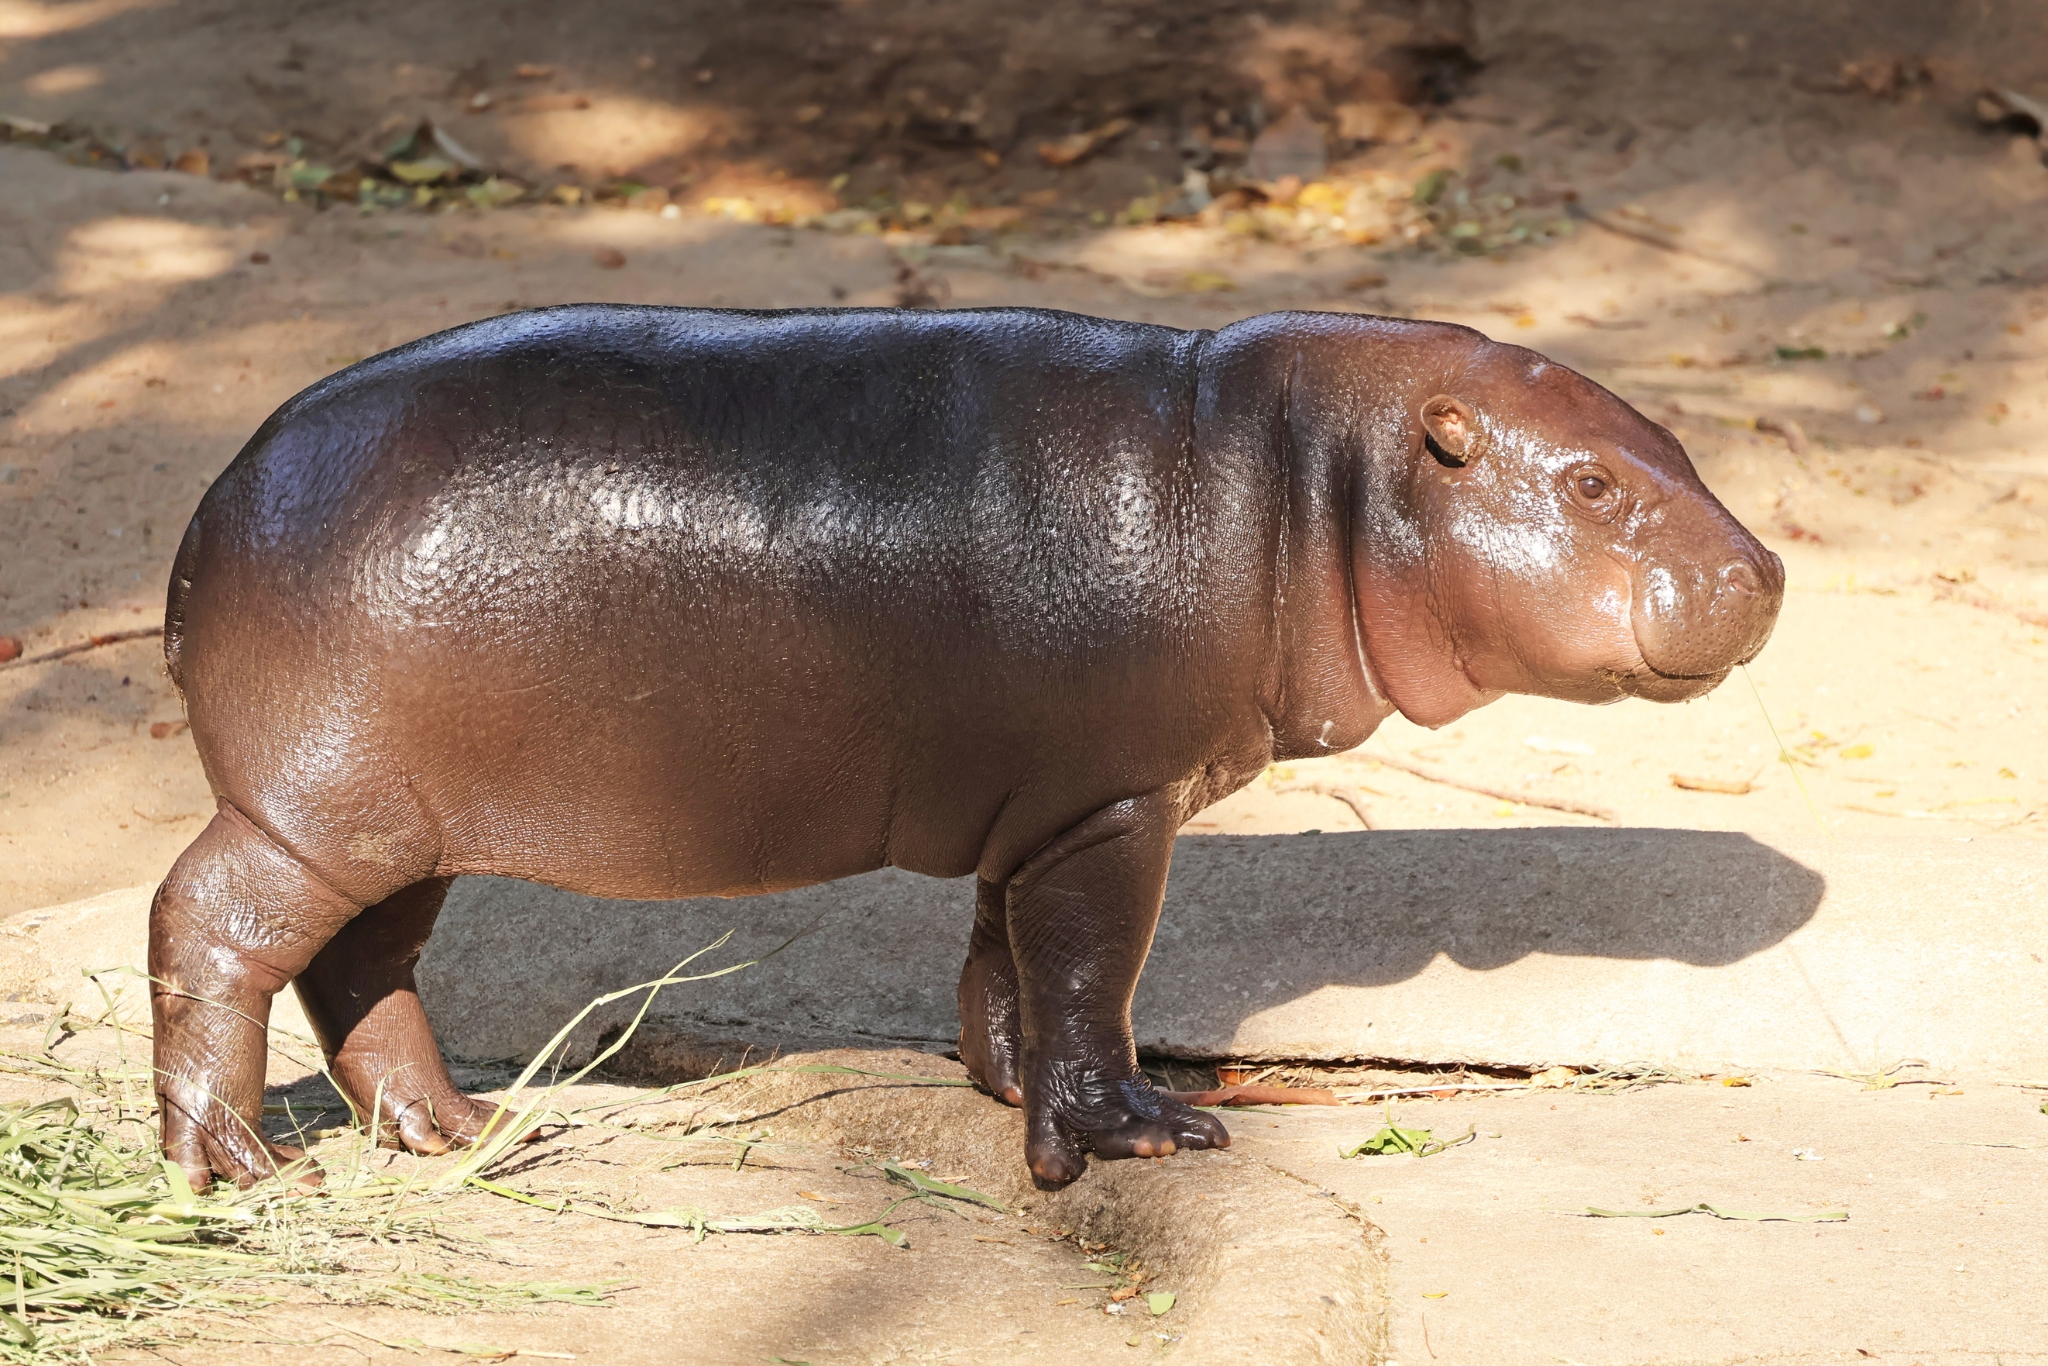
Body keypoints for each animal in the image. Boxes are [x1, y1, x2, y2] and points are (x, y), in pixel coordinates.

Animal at [149, 305, 1782, 1190]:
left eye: (1667, 441)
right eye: (1587, 484)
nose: (1763, 570)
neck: (1299, 481)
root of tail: (212, 504)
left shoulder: (1037, 803)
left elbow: (1006, 958)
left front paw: (1005, 1099)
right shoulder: (1112, 801)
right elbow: (1091, 970)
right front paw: (1144, 1137)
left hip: (399, 823)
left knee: (362, 968)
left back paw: (456, 1130)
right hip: (314, 806)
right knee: (210, 924)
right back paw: (233, 1162)